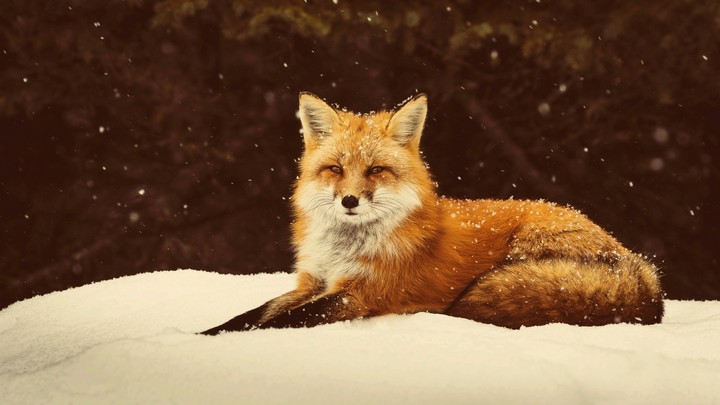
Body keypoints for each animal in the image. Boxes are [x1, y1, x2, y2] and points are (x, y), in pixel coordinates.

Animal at [201, 92, 664, 334]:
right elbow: (252, 315)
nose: (349, 201)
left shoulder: (361, 295)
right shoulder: (312, 281)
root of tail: (642, 272)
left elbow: (276, 323)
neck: (345, 249)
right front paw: (201, 335)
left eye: (376, 170)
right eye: (335, 169)